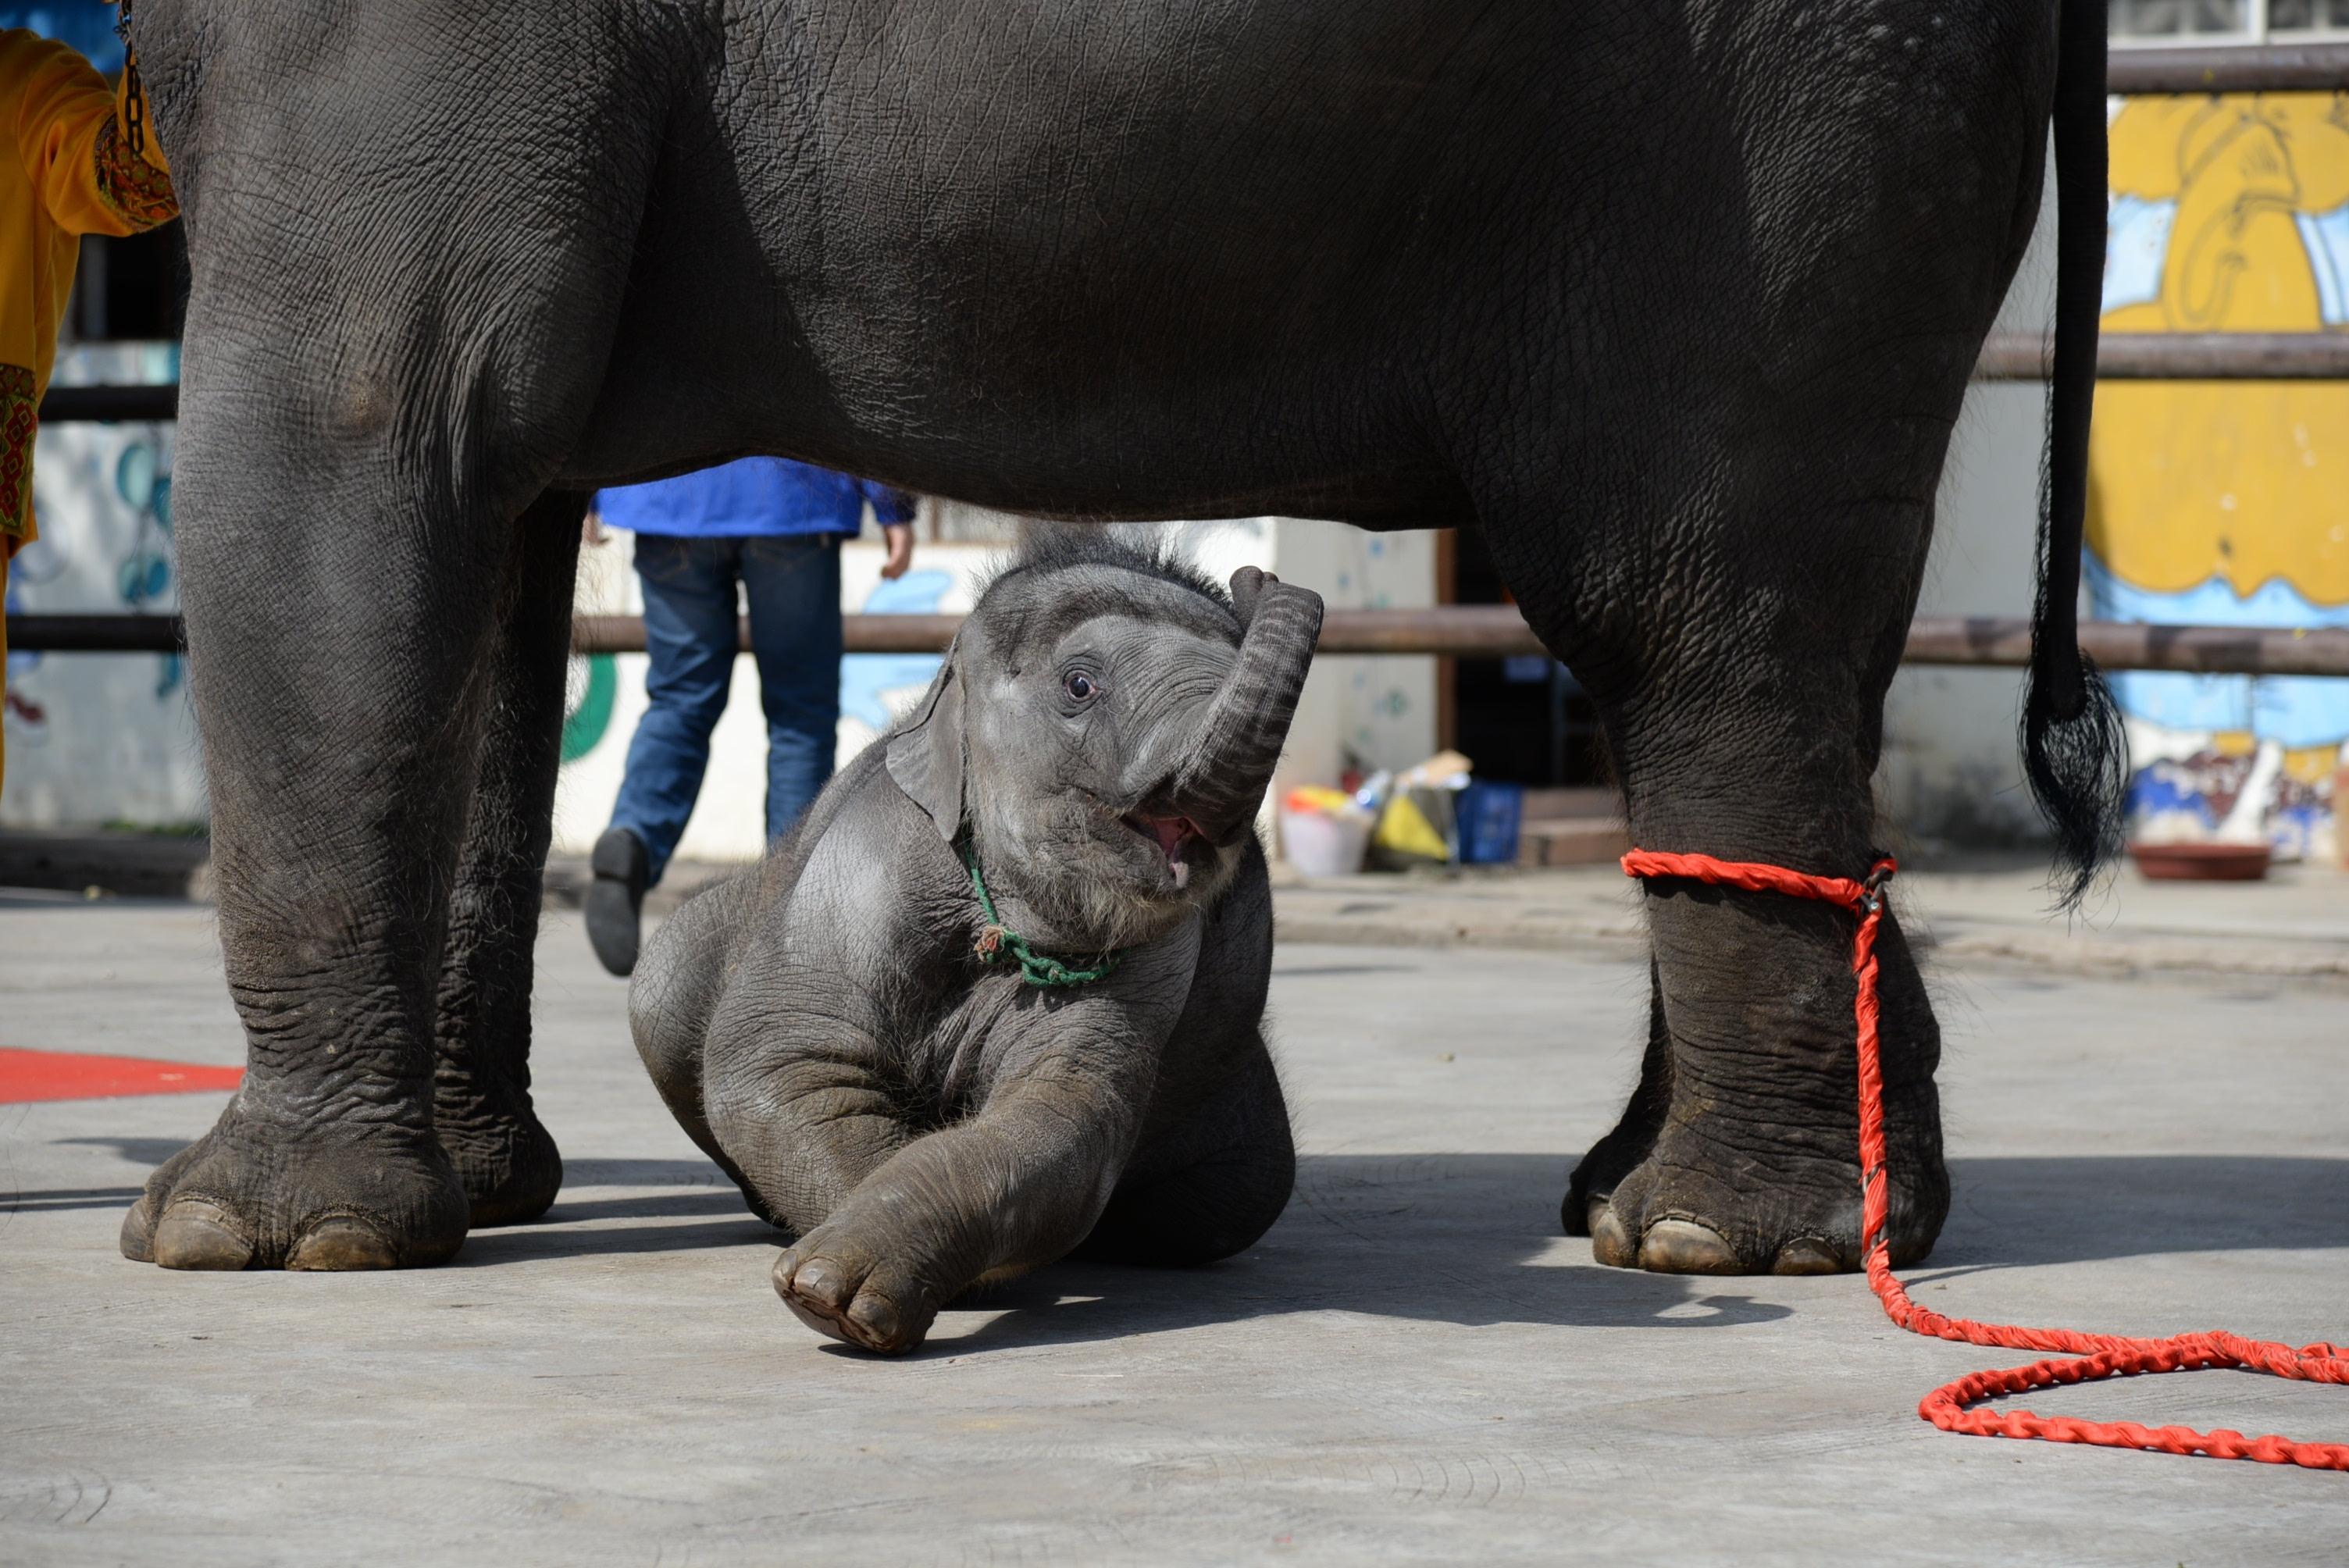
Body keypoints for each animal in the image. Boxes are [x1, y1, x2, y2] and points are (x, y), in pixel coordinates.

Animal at [625, 533, 1324, 1352]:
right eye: (1080, 685)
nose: (1259, 574)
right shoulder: (871, 859)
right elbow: (783, 1062)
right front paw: (836, 1288)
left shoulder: (1156, 958)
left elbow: (1065, 1114)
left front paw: (839, 1290)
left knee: (1239, 1199)